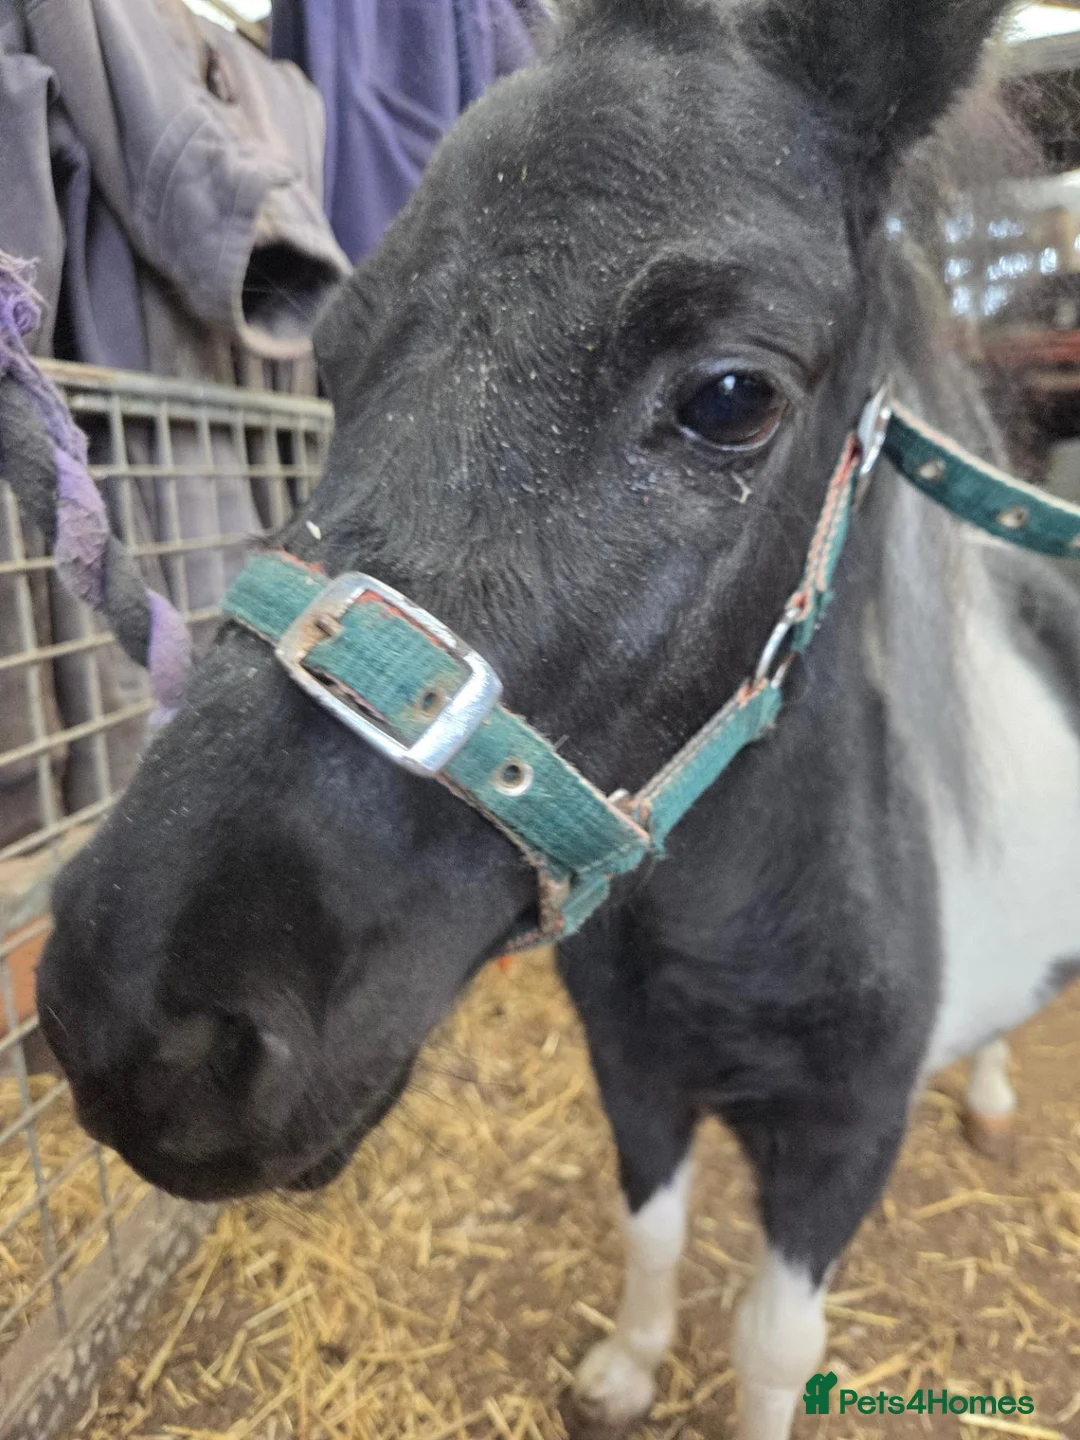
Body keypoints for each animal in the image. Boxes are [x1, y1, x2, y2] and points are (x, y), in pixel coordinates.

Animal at [36, 1, 1080, 1436]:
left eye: (733, 396)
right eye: (335, 362)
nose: (137, 1025)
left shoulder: (841, 1143)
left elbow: (772, 1343)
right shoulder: (631, 1071)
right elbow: (650, 1231)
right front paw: (625, 1373)